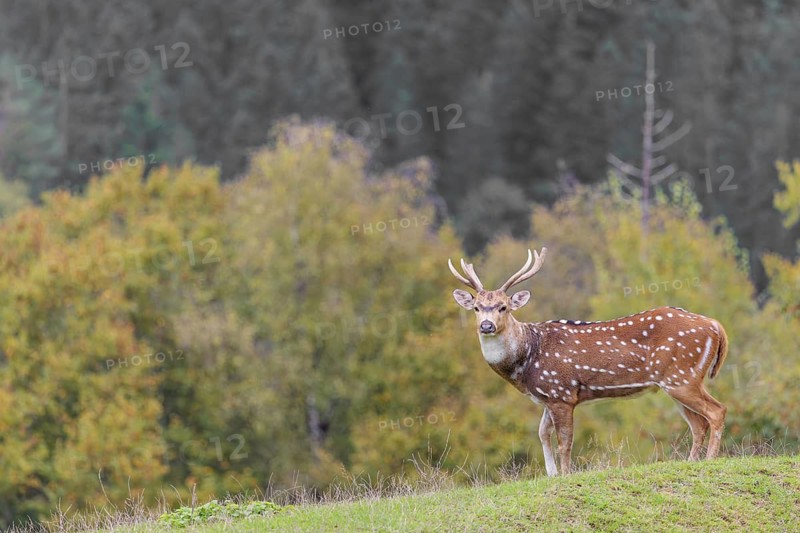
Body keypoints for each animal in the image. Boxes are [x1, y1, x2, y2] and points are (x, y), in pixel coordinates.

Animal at [448, 247, 728, 476]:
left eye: (503, 307)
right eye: (476, 307)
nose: (486, 326)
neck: (526, 361)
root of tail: (716, 326)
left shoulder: (562, 393)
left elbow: (564, 442)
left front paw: (565, 474)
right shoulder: (547, 396)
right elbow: (542, 434)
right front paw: (551, 475)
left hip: (682, 376)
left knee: (717, 411)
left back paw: (710, 460)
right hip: (675, 383)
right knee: (699, 424)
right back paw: (692, 462)